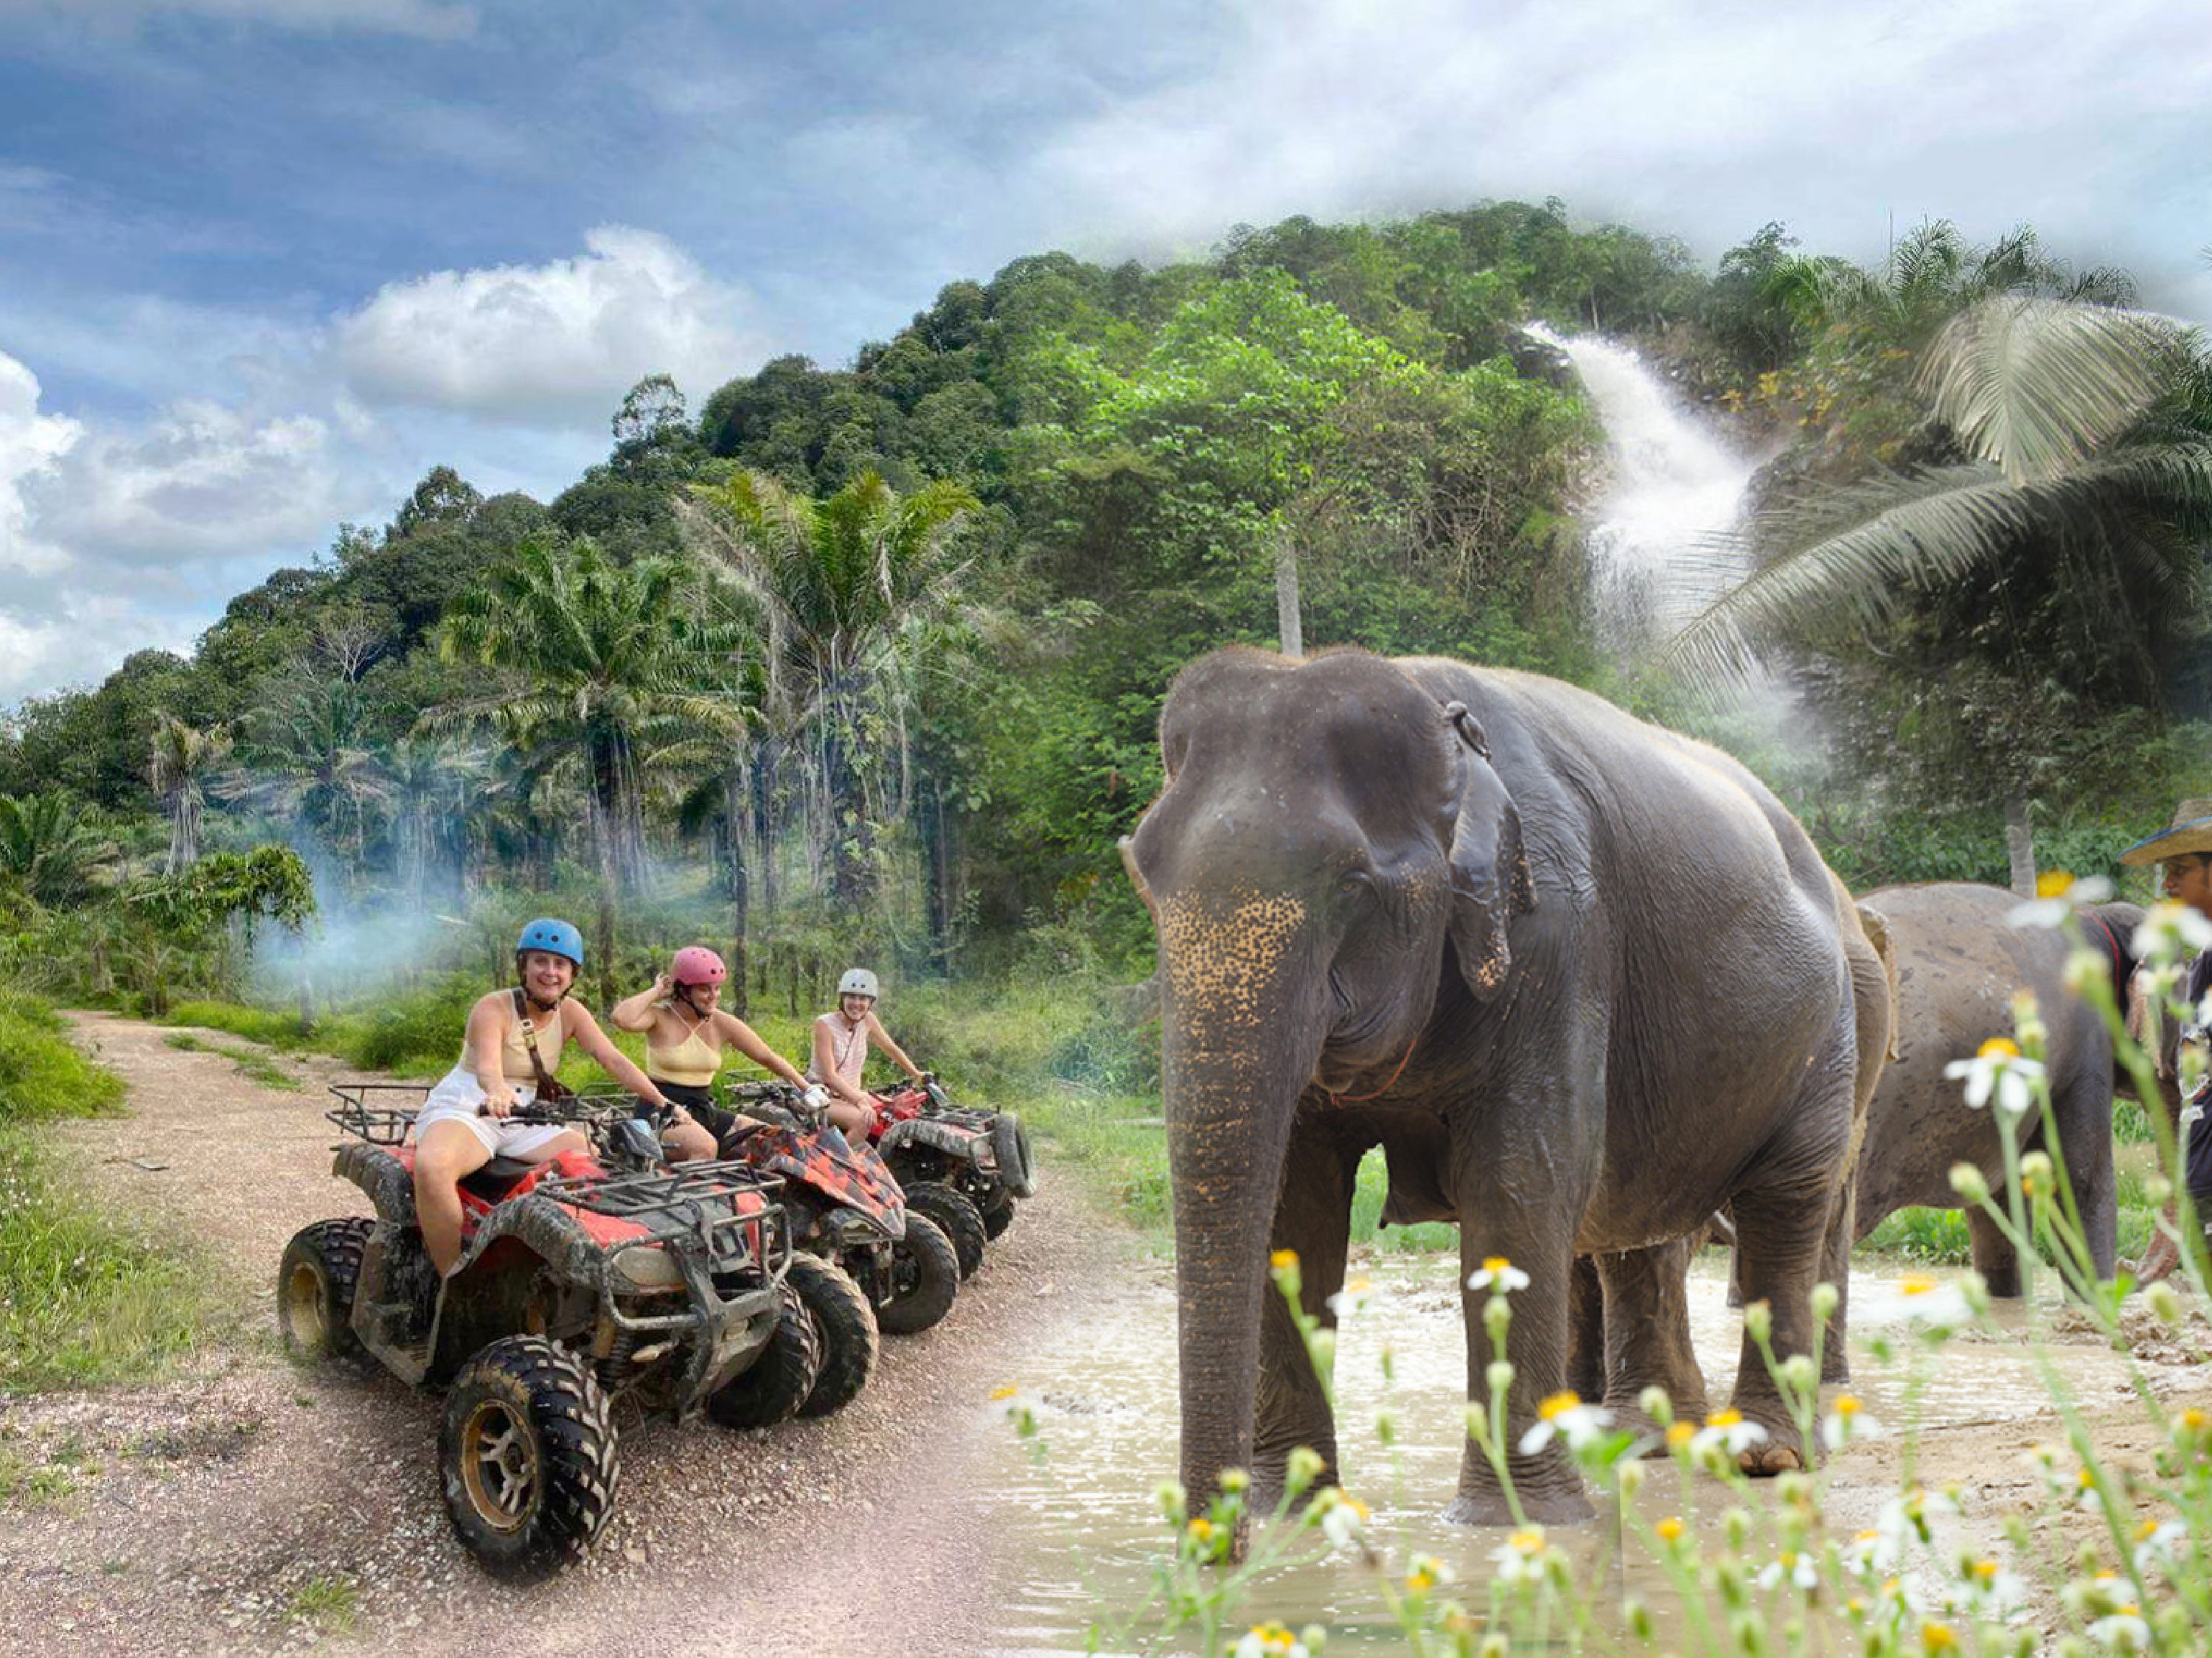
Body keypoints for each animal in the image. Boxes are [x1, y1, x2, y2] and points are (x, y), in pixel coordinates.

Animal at [1124, 646, 1879, 1528]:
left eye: (1353, 886)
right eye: (1142, 876)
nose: (1216, 1541)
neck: (1434, 707)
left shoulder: (1560, 934)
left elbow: (1518, 1185)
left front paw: (1518, 1522)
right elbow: (1296, 1206)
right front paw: (1295, 1512)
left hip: (1830, 1034)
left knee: (1786, 1205)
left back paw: (1765, 1455)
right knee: (1640, 1225)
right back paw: (1644, 1440)